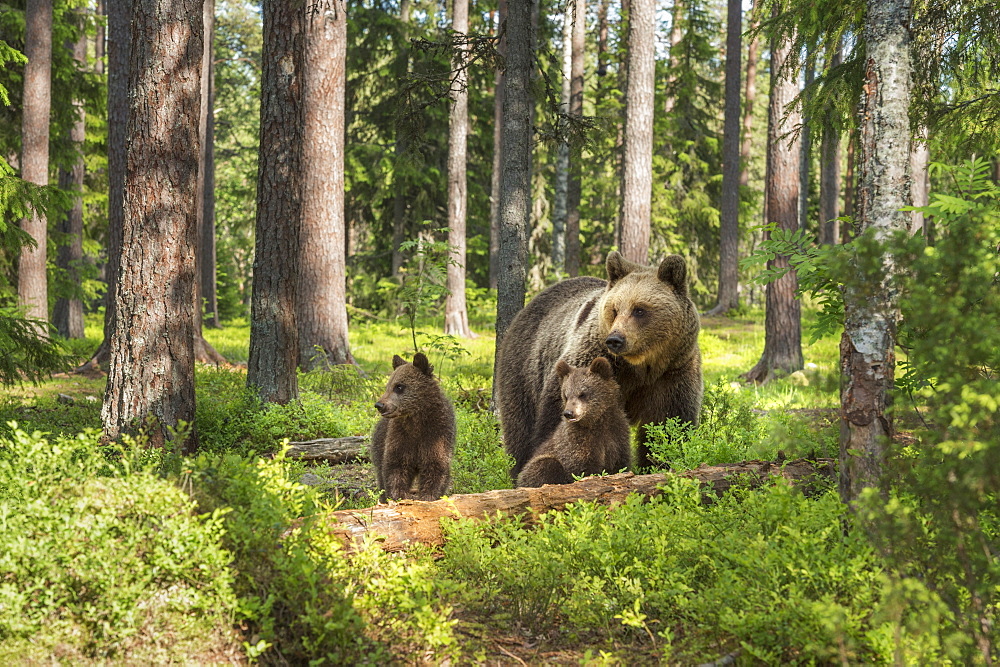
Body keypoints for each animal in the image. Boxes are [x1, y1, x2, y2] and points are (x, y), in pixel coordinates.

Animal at [494, 249, 704, 474]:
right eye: (614, 309)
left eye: (639, 309)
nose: (615, 339)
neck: (641, 365)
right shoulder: (593, 358)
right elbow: (555, 417)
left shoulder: (673, 372)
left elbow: (668, 424)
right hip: (523, 369)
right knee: (520, 427)